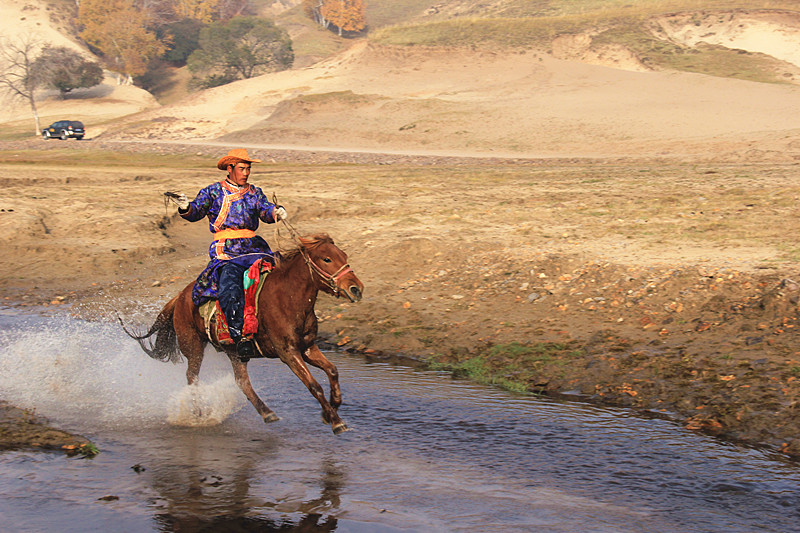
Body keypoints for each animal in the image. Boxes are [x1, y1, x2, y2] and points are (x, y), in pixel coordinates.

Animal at [122, 232, 366, 432]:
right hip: (193, 347)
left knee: (242, 382)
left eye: (343, 255)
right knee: (192, 378)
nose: (356, 289)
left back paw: (267, 412)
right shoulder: (288, 352)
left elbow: (332, 370)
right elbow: (314, 385)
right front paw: (336, 421)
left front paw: (331, 409)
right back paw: (198, 414)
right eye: (327, 259)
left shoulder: (307, 347)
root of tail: (180, 297)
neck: (287, 298)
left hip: (235, 352)